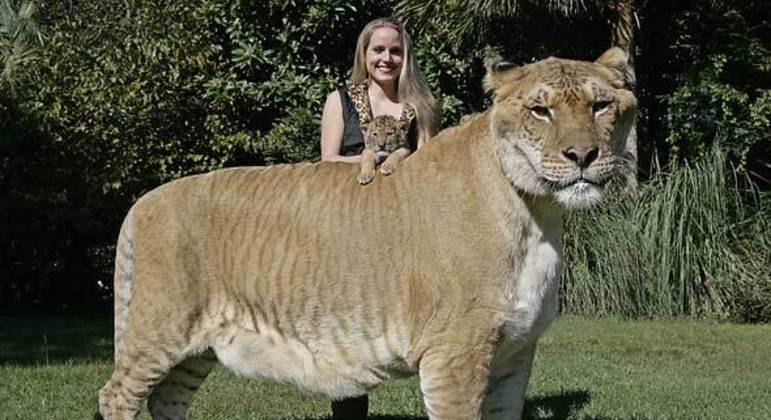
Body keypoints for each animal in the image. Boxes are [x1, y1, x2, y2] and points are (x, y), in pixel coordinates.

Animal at [96, 47, 637, 420]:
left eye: (601, 105)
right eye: (541, 111)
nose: (582, 156)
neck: (537, 214)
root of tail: (143, 200)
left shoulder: (515, 352)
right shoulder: (454, 353)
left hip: (197, 347)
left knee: (165, 399)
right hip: (160, 327)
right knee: (116, 395)